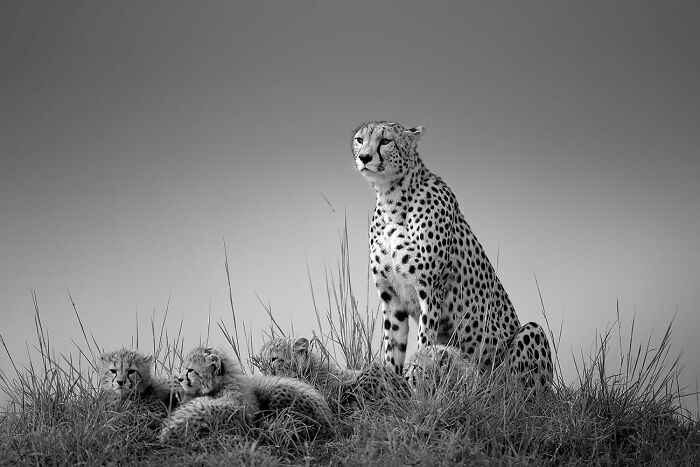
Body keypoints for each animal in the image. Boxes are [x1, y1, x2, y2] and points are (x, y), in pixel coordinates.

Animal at [352, 121, 554, 391]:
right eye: (360, 140)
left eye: (385, 141)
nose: (364, 157)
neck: (391, 200)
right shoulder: (391, 297)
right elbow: (392, 348)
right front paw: (391, 382)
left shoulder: (430, 291)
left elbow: (425, 343)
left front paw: (415, 380)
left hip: (530, 335)